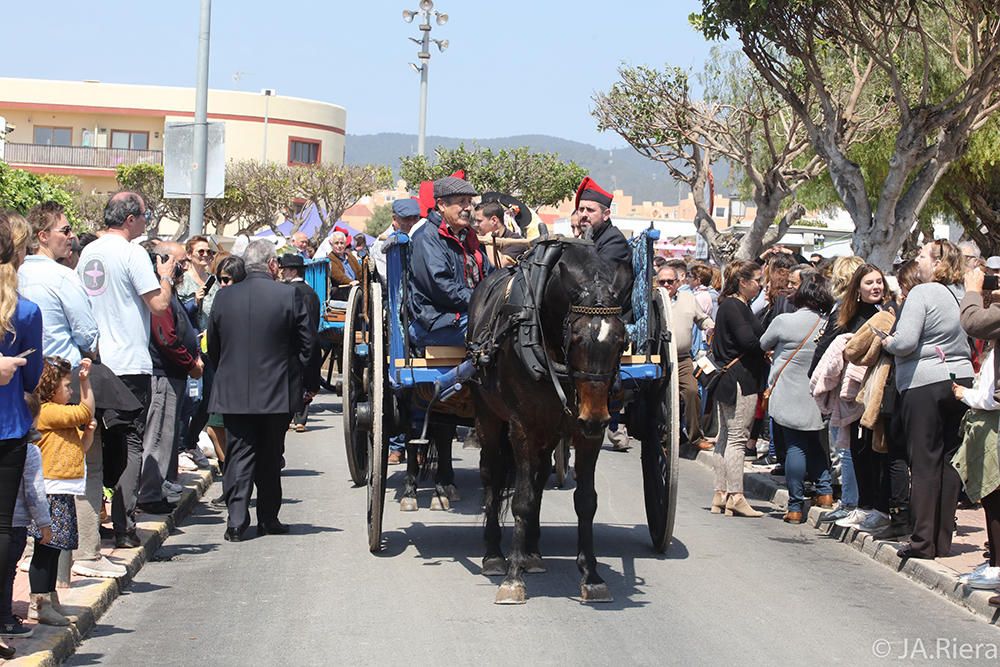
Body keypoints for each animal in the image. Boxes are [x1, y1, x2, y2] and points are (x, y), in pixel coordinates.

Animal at [466, 240, 624, 604]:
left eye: (621, 341)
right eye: (576, 338)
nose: (595, 418)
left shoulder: (584, 434)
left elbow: (585, 500)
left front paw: (592, 575)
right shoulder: (522, 427)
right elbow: (521, 500)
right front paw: (512, 578)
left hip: (551, 430)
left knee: (538, 478)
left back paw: (533, 554)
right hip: (488, 416)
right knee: (492, 475)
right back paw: (494, 554)